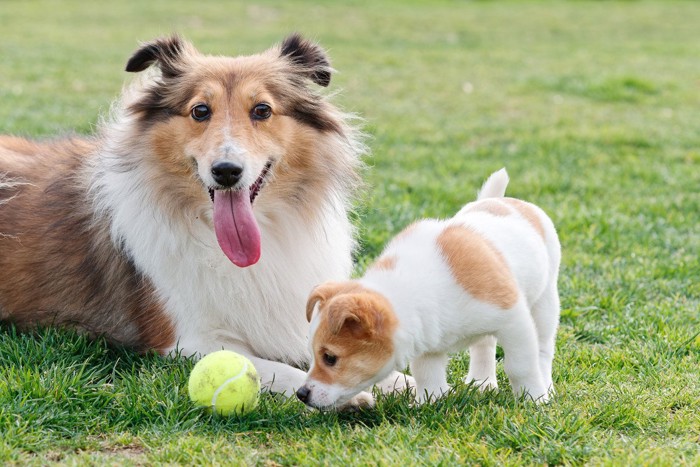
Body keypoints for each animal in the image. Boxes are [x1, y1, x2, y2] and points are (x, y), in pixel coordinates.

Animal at [0, 34, 412, 406]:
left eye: (262, 110)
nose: (226, 171)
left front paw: (401, 383)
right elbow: (270, 368)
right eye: (200, 111)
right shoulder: (188, 340)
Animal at [298, 170, 560, 412]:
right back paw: (482, 383)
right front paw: (428, 404)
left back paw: (545, 387)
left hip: (545, 303)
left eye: (330, 358)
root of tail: (501, 200)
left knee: (543, 349)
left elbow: (520, 366)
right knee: (484, 347)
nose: (301, 394)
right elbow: (428, 376)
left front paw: (534, 400)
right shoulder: (428, 344)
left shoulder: (514, 321)